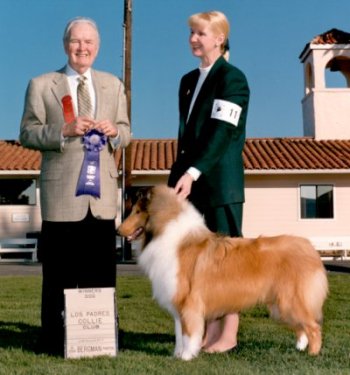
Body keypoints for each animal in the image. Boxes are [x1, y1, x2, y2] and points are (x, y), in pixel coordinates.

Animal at [117, 185, 328, 362]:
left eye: (137, 211)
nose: (118, 230)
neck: (167, 233)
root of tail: (310, 248)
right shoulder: (177, 304)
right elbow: (179, 334)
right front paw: (176, 355)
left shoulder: (188, 304)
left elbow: (188, 334)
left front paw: (186, 357)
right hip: (281, 304)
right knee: (302, 327)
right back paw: (299, 348)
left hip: (291, 300)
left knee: (314, 328)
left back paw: (313, 354)